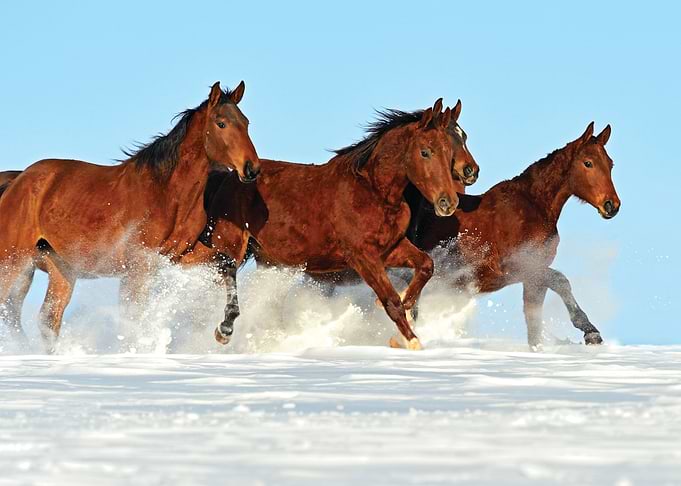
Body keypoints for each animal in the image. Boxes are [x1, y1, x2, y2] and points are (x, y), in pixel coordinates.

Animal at [0, 81, 260, 352]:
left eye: (246, 122)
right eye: (221, 123)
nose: (252, 168)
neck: (166, 195)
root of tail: (15, 182)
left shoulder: (179, 256)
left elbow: (227, 264)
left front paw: (225, 330)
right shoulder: (138, 265)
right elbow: (133, 316)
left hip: (61, 270)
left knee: (47, 319)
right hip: (13, 260)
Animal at [185, 99, 462, 350]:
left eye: (449, 153)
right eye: (425, 152)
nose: (448, 202)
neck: (374, 192)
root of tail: (227, 178)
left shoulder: (390, 249)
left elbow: (426, 266)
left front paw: (406, 309)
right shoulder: (362, 257)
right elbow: (390, 300)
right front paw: (411, 341)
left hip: (268, 261)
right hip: (231, 247)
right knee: (221, 277)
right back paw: (222, 331)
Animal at [408, 122, 620, 347]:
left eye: (610, 164)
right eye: (588, 163)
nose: (611, 205)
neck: (533, 208)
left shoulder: (534, 278)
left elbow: (534, 324)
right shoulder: (517, 267)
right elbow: (560, 281)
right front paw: (590, 331)